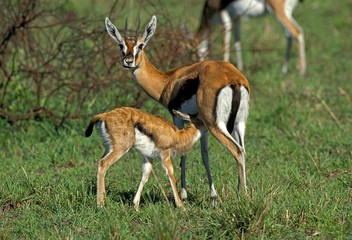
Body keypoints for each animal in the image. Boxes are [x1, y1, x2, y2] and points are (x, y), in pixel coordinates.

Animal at [104, 15, 250, 206]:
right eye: (121, 45)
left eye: (141, 45)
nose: (128, 61)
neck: (168, 80)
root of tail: (234, 80)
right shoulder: (201, 124)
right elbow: (204, 154)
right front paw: (212, 196)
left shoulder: (178, 118)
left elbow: (183, 153)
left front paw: (183, 195)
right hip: (239, 124)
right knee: (243, 149)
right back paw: (246, 193)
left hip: (216, 125)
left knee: (237, 150)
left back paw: (241, 195)